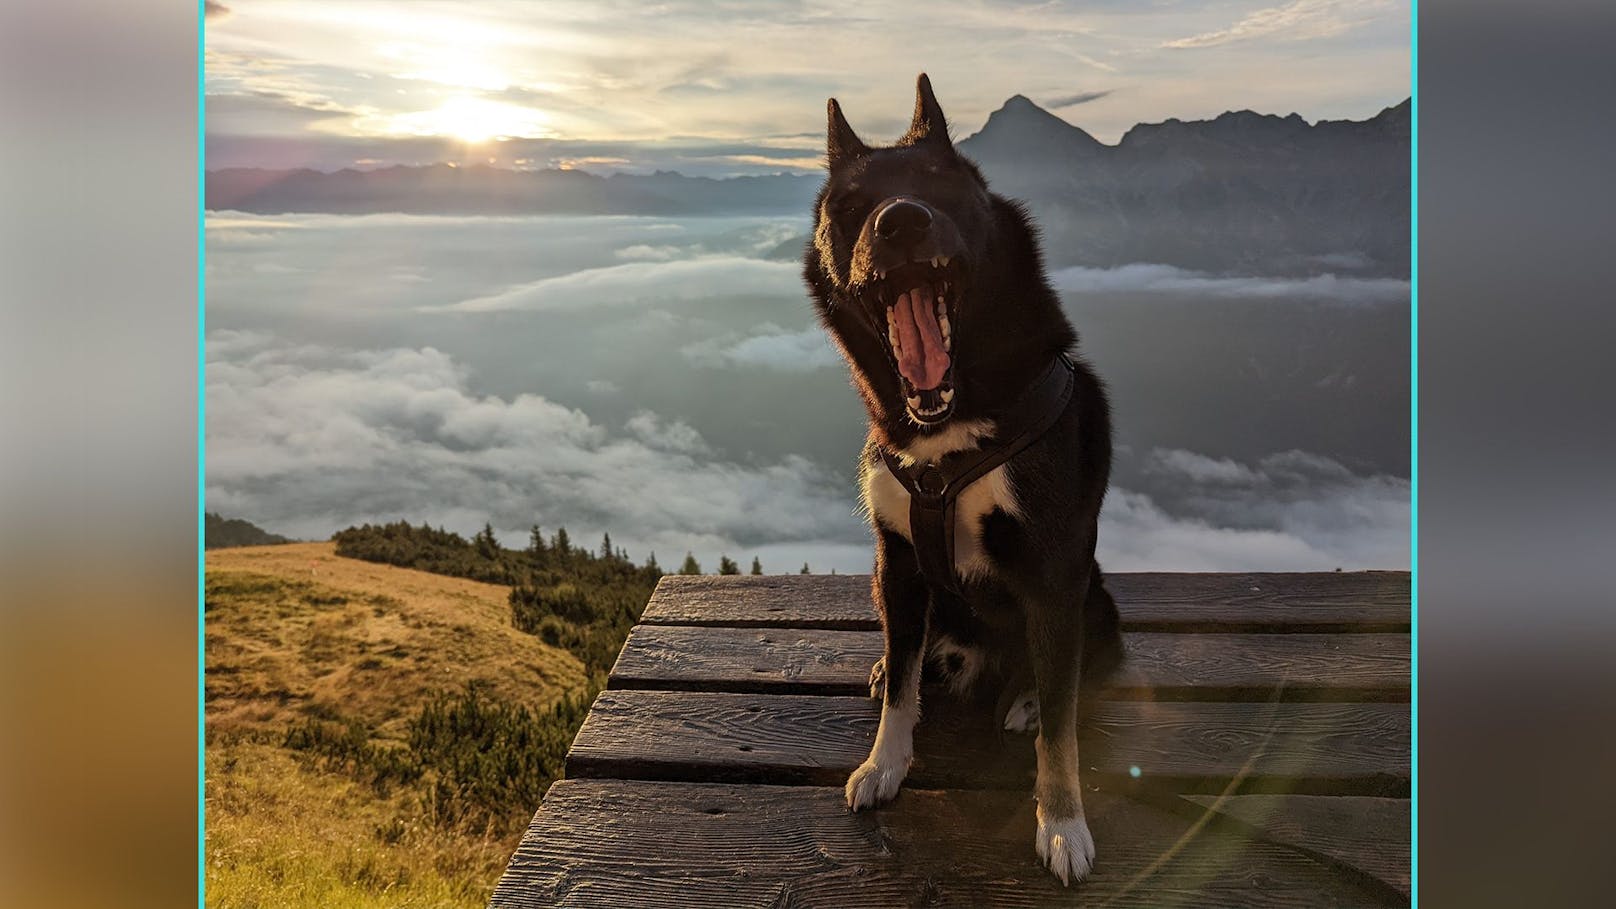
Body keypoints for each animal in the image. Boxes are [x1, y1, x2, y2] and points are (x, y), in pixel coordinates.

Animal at [798, 74, 1124, 879]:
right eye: (849, 206)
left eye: (940, 184)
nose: (900, 223)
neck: (948, 428)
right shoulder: (897, 561)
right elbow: (902, 684)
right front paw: (885, 761)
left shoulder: (1052, 572)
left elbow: (1063, 730)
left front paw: (1062, 822)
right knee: (913, 654)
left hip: (1094, 600)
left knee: (1071, 672)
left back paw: (1029, 698)